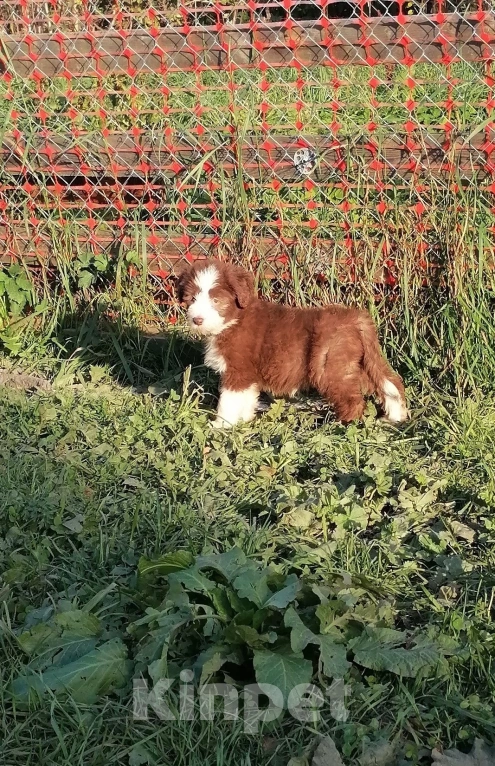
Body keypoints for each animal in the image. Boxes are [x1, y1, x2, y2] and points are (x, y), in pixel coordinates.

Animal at [176, 260, 408, 428]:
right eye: (192, 298)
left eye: (216, 301)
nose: (197, 319)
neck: (233, 320)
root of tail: (356, 318)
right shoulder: (248, 375)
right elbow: (247, 399)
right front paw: (244, 421)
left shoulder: (238, 371)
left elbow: (228, 401)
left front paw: (221, 425)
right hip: (357, 362)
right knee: (390, 382)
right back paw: (394, 417)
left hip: (329, 366)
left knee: (354, 400)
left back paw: (338, 425)